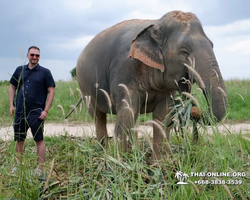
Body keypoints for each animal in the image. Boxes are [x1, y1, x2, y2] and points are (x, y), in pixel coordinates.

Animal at [76, 10, 227, 158]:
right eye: (184, 51)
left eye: (212, 45)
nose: (195, 112)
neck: (155, 24)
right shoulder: (124, 71)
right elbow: (126, 112)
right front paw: (123, 160)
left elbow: (163, 116)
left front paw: (159, 162)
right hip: (85, 87)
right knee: (98, 116)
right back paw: (104, 153)